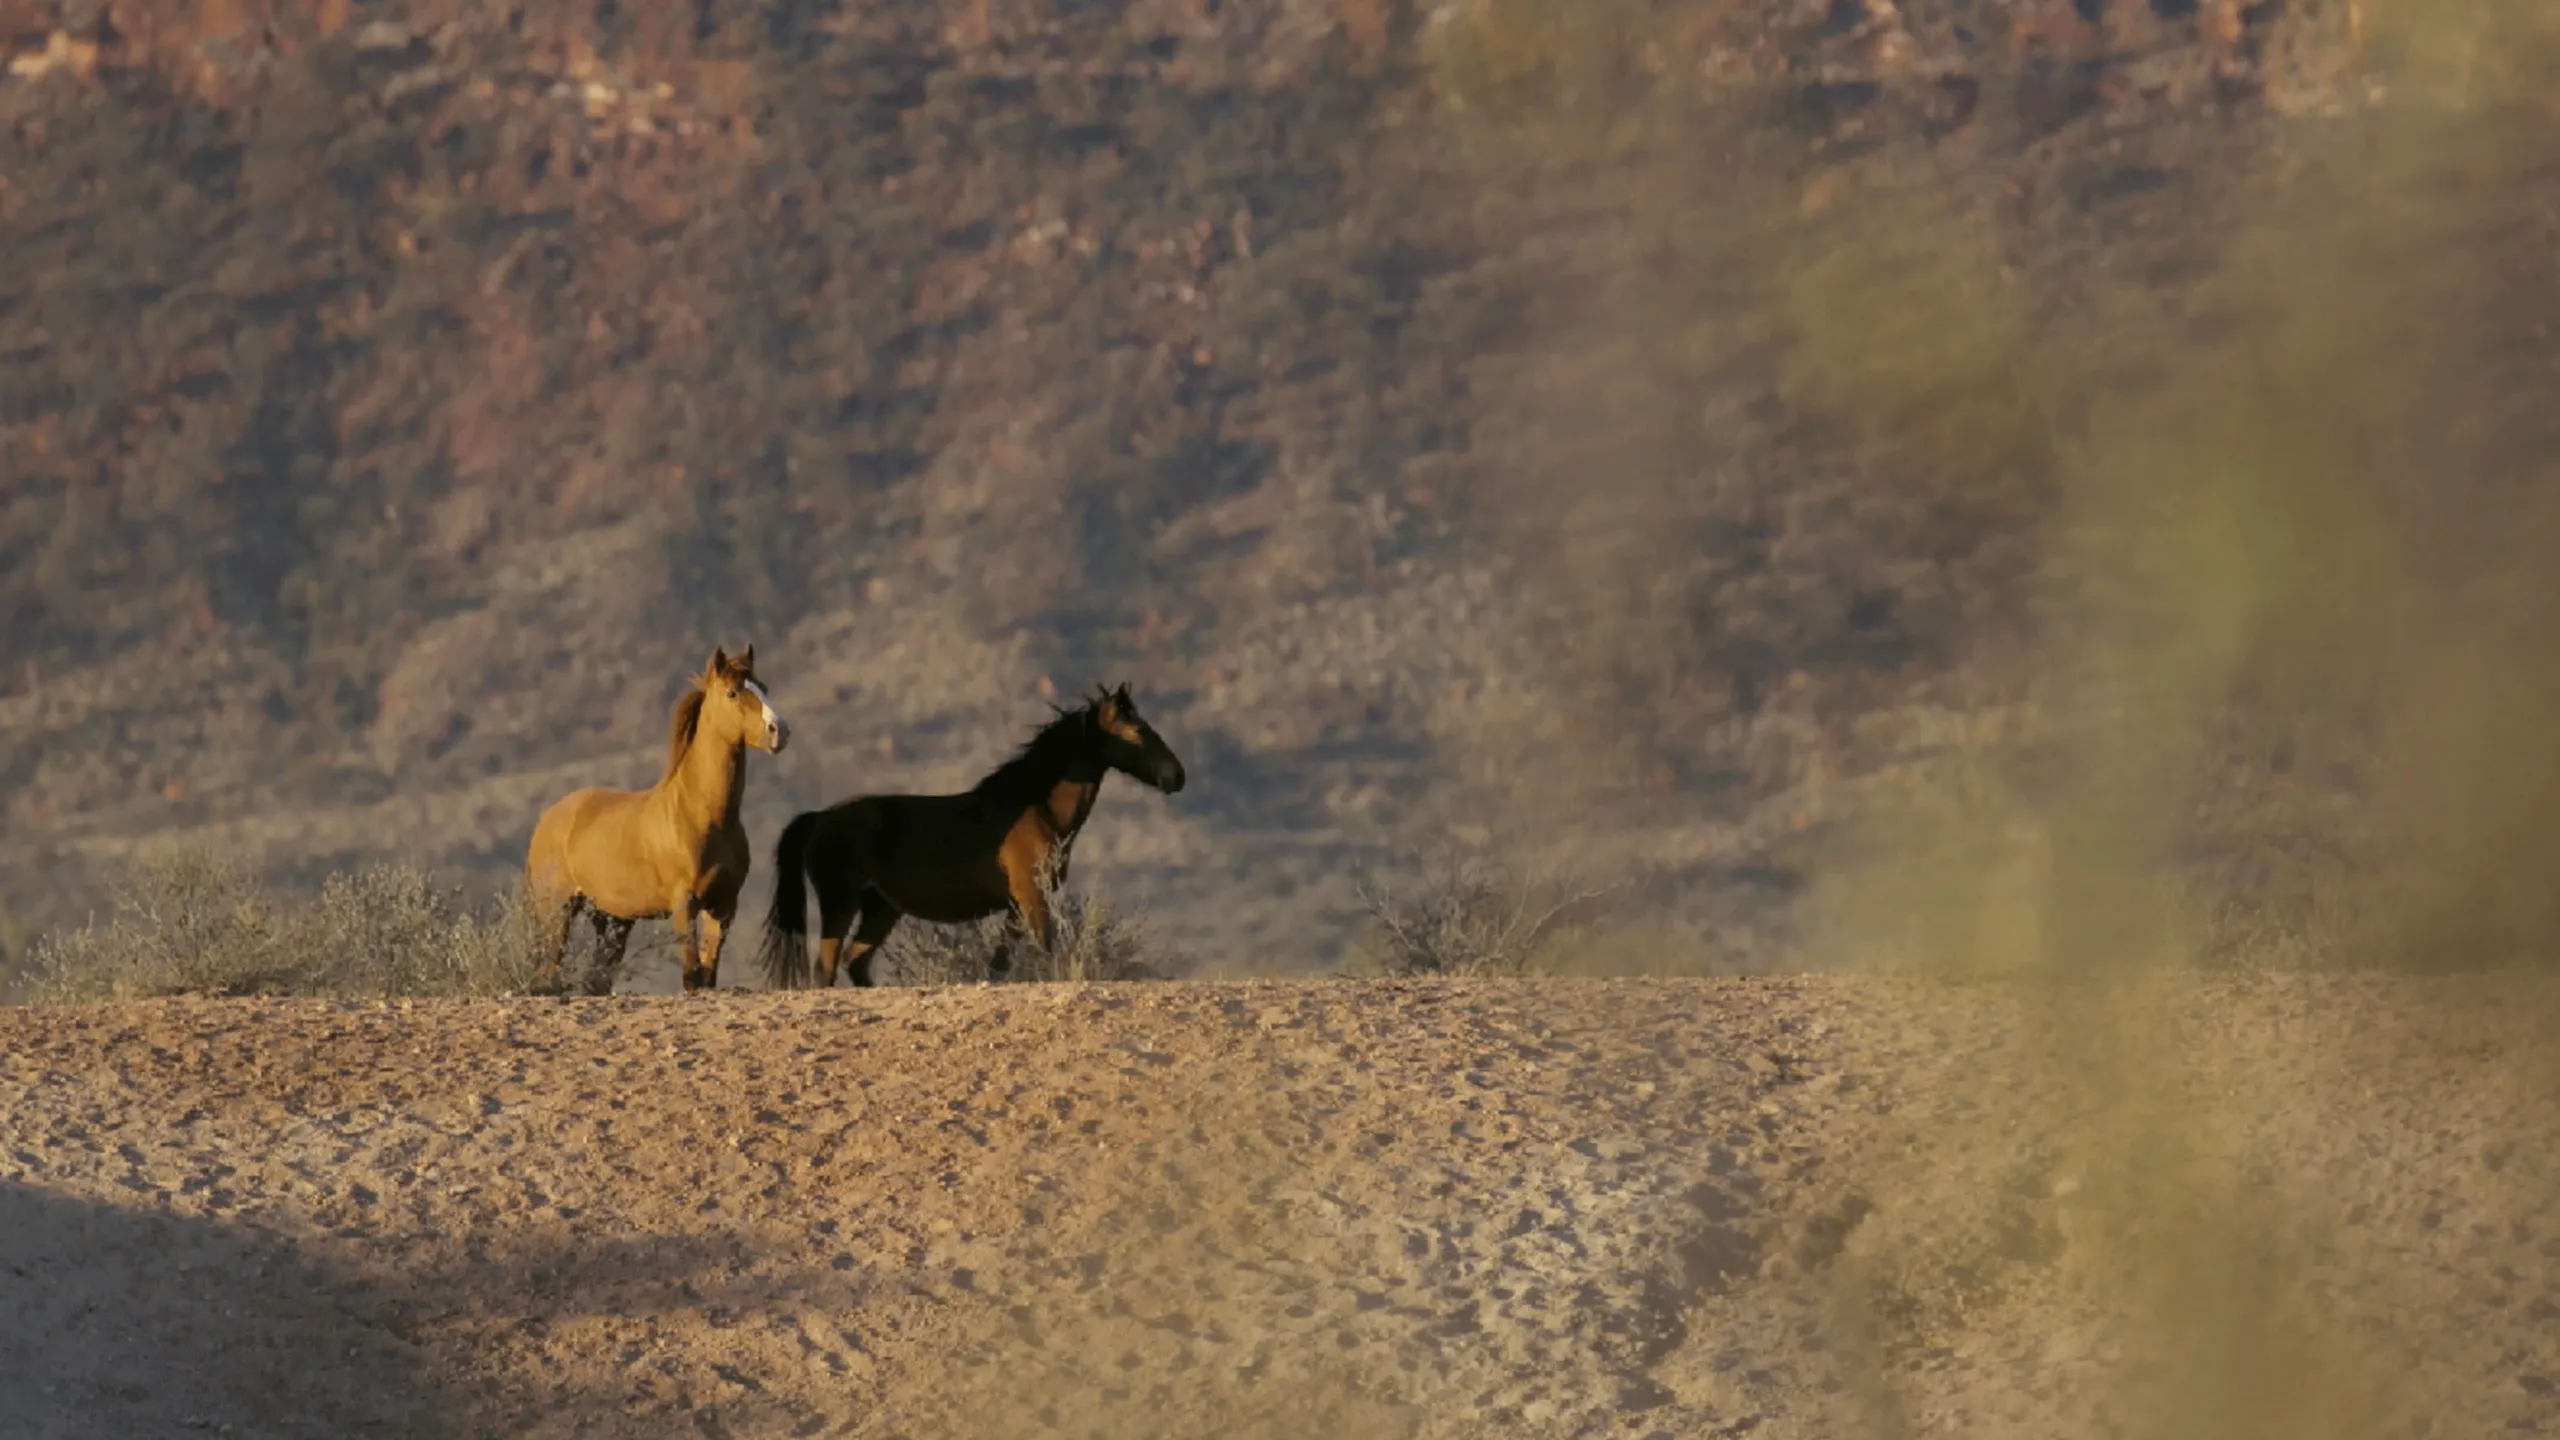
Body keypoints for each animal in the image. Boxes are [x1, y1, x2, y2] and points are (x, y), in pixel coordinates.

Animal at [524, 645, 790, 994]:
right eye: (732, 692)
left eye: (764, 688)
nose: (780, 731)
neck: (704, 816)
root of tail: (547, 819)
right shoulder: (684, 905)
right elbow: (692, 975)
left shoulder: (724, 905)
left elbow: (708, 975)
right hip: (558, 912)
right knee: (550, 971)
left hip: (612, 919)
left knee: (598, 978)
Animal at [756, 682, 1186, 989]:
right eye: (1137, 729)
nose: (1177, 776)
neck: (1036, 808)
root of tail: (819, 817)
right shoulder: (1032, 898)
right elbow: (1044, 948)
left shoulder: (1016, 907)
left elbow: (1000, 964)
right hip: (840, 904)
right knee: (827, 967)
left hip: (881, 909)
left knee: (855, 963)